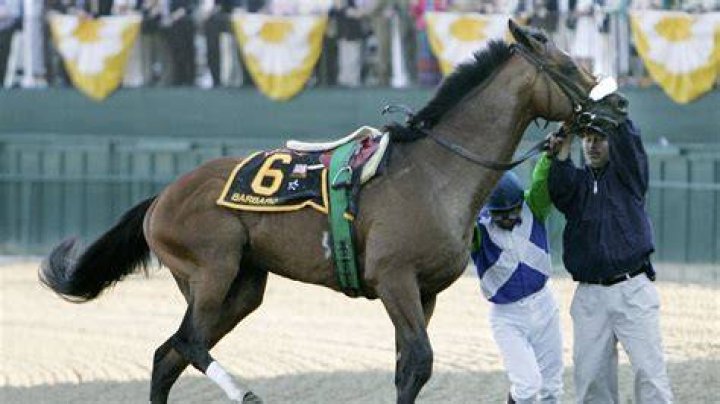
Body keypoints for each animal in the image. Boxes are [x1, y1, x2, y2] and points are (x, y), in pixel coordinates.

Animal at [39, 20, 597, 404]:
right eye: (570, 68)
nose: (611, 107)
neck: (433, 171)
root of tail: (161, 198)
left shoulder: (425, 291)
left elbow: (408, 368)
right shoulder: (394, 277)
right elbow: (419, 361)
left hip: (242, 286)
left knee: (165, 357)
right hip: (212, 268)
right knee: (187, 340)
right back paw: (246, 393)